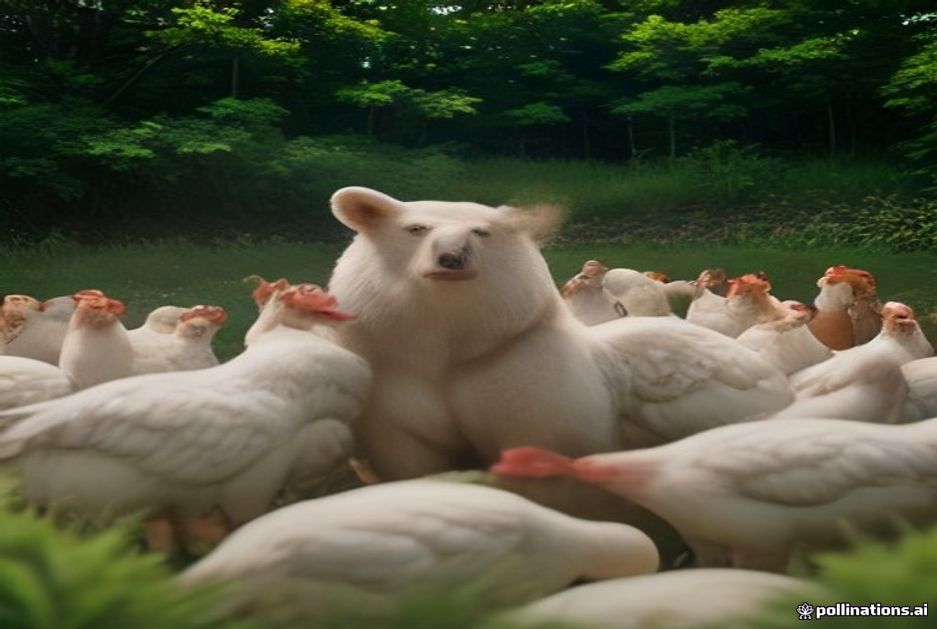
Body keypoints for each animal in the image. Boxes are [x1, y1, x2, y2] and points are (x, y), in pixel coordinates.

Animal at [326, 187, 795, 481]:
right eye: (416, 229)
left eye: (481, 232)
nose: (451, 258)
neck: (449, 347)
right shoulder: (390, 379)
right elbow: (412, 457)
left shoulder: (526, 372)